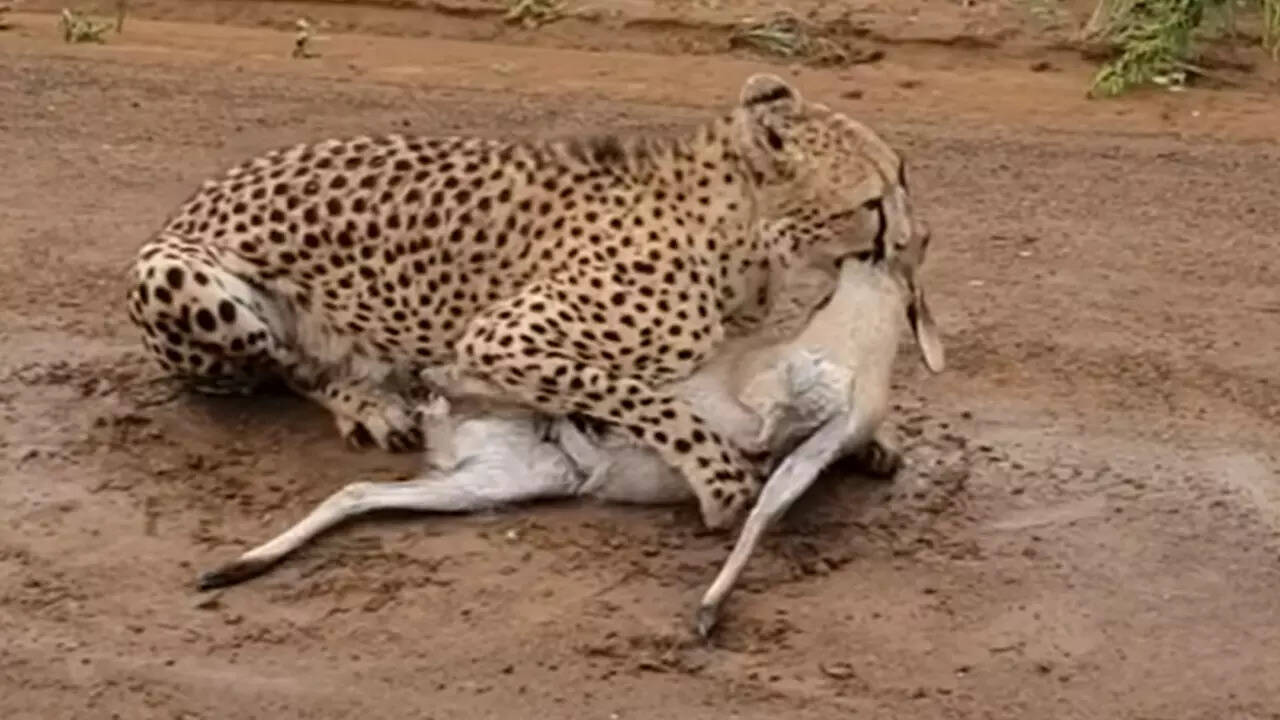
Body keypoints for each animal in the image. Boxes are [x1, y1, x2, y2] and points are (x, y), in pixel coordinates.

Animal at [125, 73, 930, 530]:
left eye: (904, 177)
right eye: (871, 201)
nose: (917, 241)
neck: (739, 231)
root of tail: (193, 200)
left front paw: (869, 438)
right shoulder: (501, 338)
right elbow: (639, 395)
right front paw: (720, 478)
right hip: (176, 275)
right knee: (284, 366)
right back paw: (368, 399)